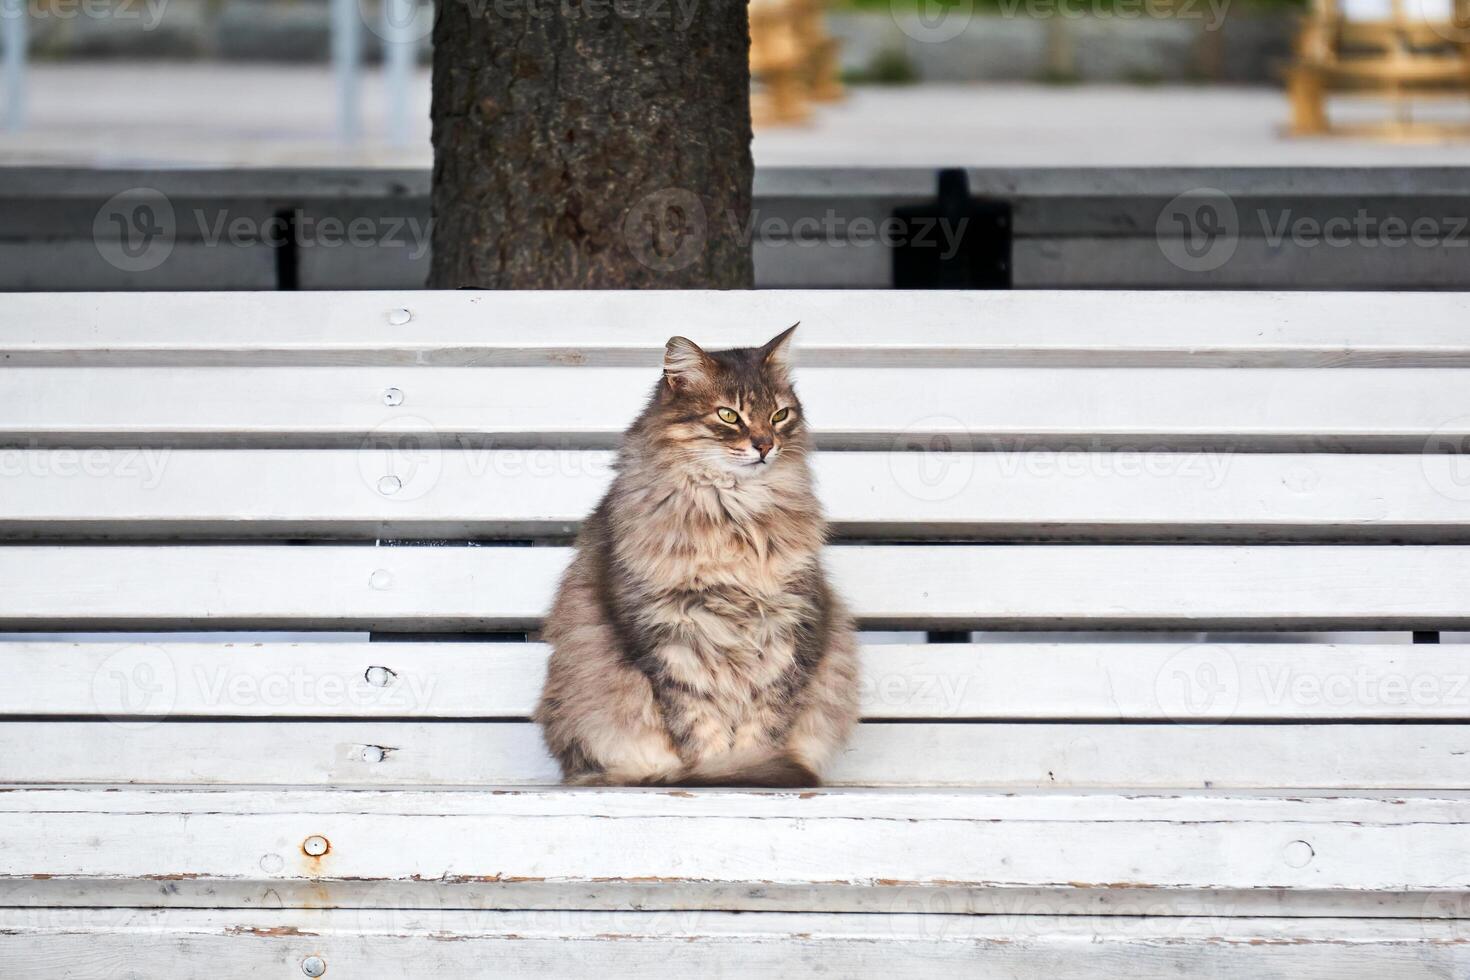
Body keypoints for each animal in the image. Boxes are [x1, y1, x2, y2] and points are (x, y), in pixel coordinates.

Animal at [538, 326, 858, 787]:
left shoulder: (789, 627)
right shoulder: (668, 634)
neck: (735, 516)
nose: (765, 445)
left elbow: (766, 721)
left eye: (780, 415)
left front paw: (750, 766)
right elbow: (697, 724)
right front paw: (718, 772)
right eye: (729, 416)